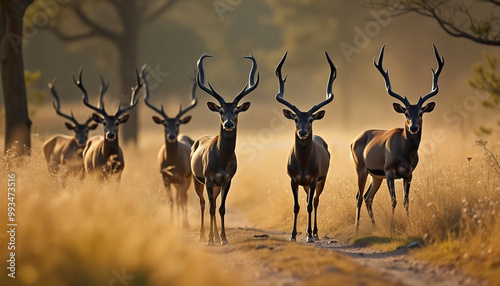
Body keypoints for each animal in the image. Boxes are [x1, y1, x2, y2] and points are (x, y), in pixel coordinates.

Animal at [143, 70, 197, 229]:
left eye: (178, 123)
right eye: (165, 124)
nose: (172, 135)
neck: (173, 162)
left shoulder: (182, 177)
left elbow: (181, 200)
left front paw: (184, 224)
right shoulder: (165, 177)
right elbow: (171, 201)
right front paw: (172, 223)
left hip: (188, 178)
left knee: (184, 198)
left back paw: (185, 222)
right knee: (179, 198)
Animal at [191, 53, 260, 246]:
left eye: (236, 110)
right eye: (221, 111)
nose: (228, 124)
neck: (221, 161)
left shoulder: (227, 180)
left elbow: (221, 208)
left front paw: (223, 238)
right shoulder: (208, 178)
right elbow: (211, 208)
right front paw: (209, 240)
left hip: (215, 185)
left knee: (213, 203)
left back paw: (214, 236)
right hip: (197, 180)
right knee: (203, 204)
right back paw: (202, 236)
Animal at [274, 52, 336, 244]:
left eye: (310, 119)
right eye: (295, 119)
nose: (302, 132)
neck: (302, 165)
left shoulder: (314, 178)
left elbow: (309, 205)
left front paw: (308, 235)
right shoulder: (293, 179)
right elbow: (296, 206)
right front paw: (293, 235)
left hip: (322, 179)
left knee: (315, 201)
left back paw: (315, 232)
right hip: (306, 184)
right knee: (310, 199)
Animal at [350, 43, 444, 229]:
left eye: (421, 112)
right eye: (406, 113)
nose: (413, 127)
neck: (404, 154)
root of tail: (353, 140)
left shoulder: (409, 173)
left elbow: (406, 201)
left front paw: (408, 222)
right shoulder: (389, 171)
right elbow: (393, 200)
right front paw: (393, 225)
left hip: (375, 176)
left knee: (367, 197)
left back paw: (374, 226)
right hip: (361, 167)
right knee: (358, 197)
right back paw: (357, 229)